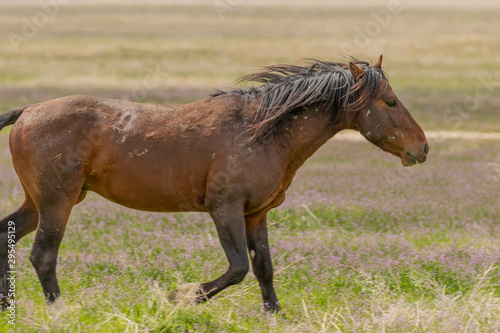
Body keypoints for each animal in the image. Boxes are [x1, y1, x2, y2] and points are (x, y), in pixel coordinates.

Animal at [0, 55, 430, 312]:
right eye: (390, 102)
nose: (422, 148)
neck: (261, 132)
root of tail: (28, 112)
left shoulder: (256, 215)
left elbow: (263, 268)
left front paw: (274, 314)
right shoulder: (225, 209)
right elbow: (238, 267)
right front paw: (180, 297)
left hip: (41, 203)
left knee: (9, 233)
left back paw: (8, 306)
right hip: (57, 203)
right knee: (43, 256)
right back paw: (59, 310)